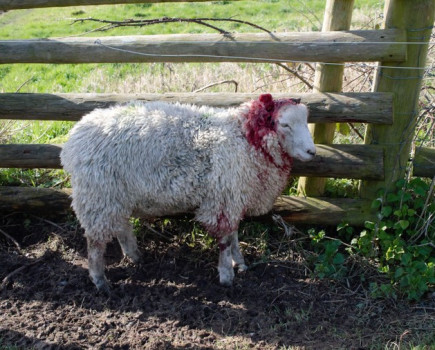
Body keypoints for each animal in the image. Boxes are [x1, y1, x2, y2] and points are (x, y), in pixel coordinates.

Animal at [59, 93, 316, 292]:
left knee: (121, 227)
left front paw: (240, 262)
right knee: (95, 243)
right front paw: (226, 276)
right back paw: (100, 281)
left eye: (306, 121)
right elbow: (225, 239)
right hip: (98, 194)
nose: (312, 152)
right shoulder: (224, 196)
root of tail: (72, 141)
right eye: (284, 124)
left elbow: (233, 234)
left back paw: (135, 257)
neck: (243, 138)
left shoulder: (233, 195)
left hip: (115, 194)